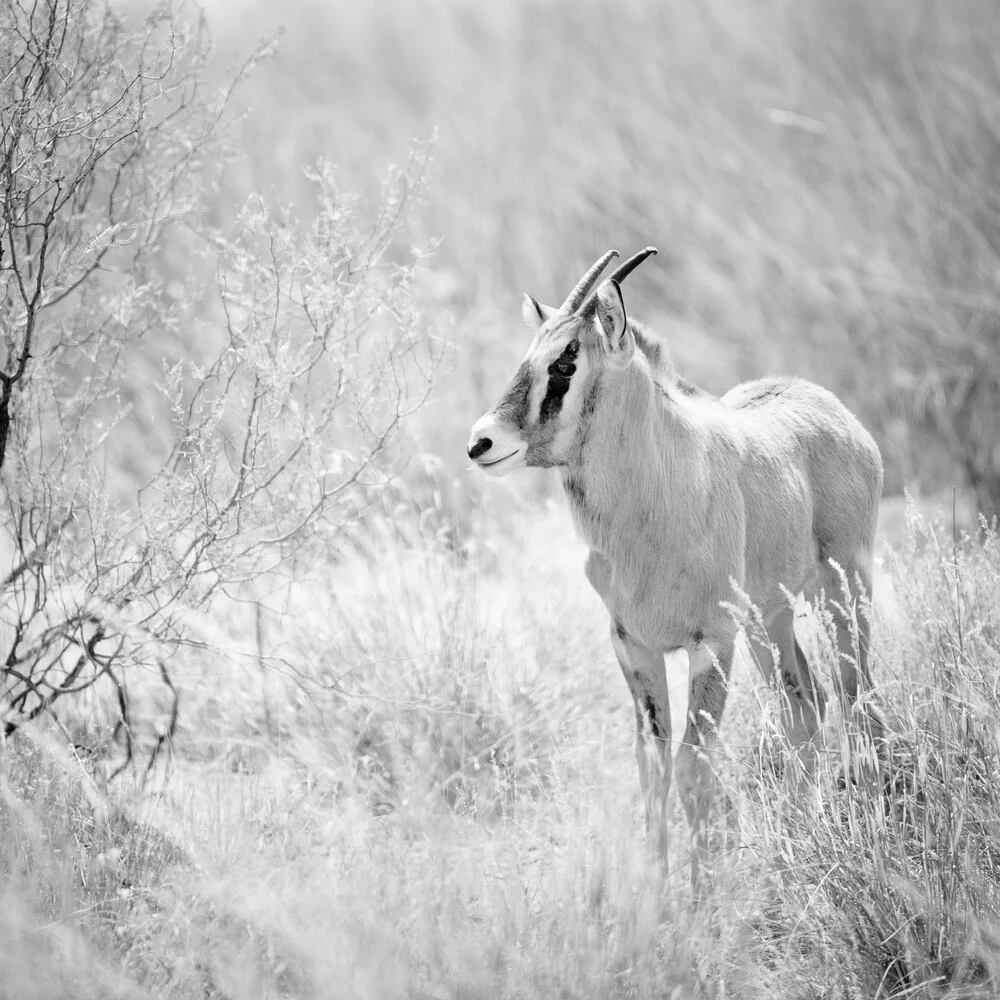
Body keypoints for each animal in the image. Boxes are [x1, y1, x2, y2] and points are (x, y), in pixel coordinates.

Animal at [468, 248, 884, 876]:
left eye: (566, 360)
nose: (480, 443)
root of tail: (833, 411)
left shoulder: (710, 645)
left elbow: (693, 766)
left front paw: (700, 888)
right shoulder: (634, 645)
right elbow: (655, 766)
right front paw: (656, 886)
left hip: (843, 593)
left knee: (858, 696)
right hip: (769, 621)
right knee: (805, 707)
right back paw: (796, 838)